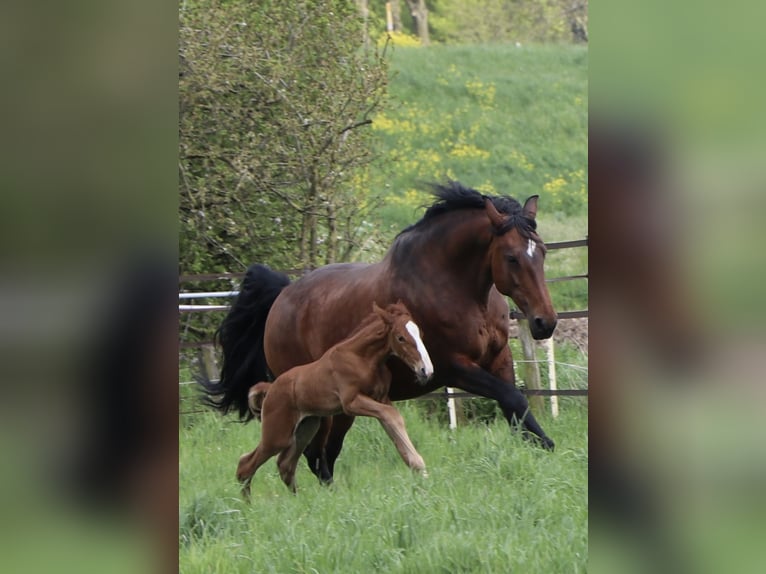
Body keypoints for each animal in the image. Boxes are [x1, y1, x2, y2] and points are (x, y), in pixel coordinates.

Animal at [237, 302, 436, 496]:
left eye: (421, 334)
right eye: (401, 338)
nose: (426, 370)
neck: (361, 358)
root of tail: (270, 389)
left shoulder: (381, 398)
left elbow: (393, 421)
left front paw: (420, 471)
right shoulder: (351, 402)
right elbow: (391, 415)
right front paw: (422, 471)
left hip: (306, 427)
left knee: (285, 464)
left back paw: (298, 500)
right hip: (278, 434)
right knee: (245, 465)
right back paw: (248, 503)